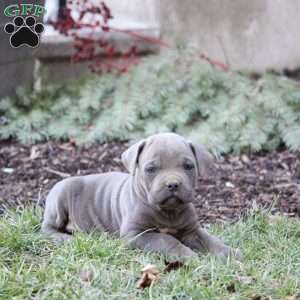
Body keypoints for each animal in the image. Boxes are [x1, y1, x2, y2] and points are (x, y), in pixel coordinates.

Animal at [42, 133, 243, 260]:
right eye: (151, 169)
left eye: (188, 166)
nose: (173, 184)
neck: (168, 212)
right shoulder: (136, 234)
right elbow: (166, 240)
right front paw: (187, 255)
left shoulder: (192, 230)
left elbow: (210, 240)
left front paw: (230, 253)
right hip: (60, 198)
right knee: (47, 229)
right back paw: (66, 238)